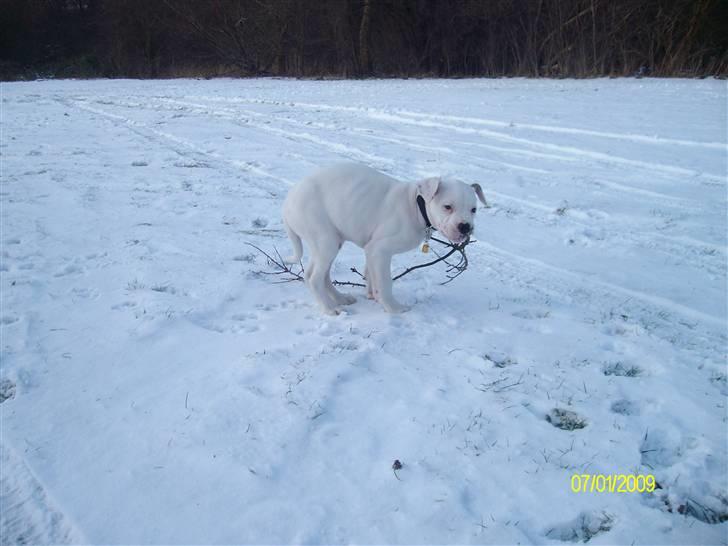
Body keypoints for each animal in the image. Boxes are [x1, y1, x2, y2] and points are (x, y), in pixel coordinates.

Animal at [282, 162, 486, 312]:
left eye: (474, 210)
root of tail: (288, 201)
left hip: (329, 243)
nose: (465, 227)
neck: (416, 205)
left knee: (320, 275)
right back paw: (330, 309)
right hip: (326, 241)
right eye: (447, 207)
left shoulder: (372, 251)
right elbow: (386, 282)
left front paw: (373, 294)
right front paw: (394, 308)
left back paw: (340, 298)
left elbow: (371, 274)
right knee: (314, 278)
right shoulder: (380, 250)